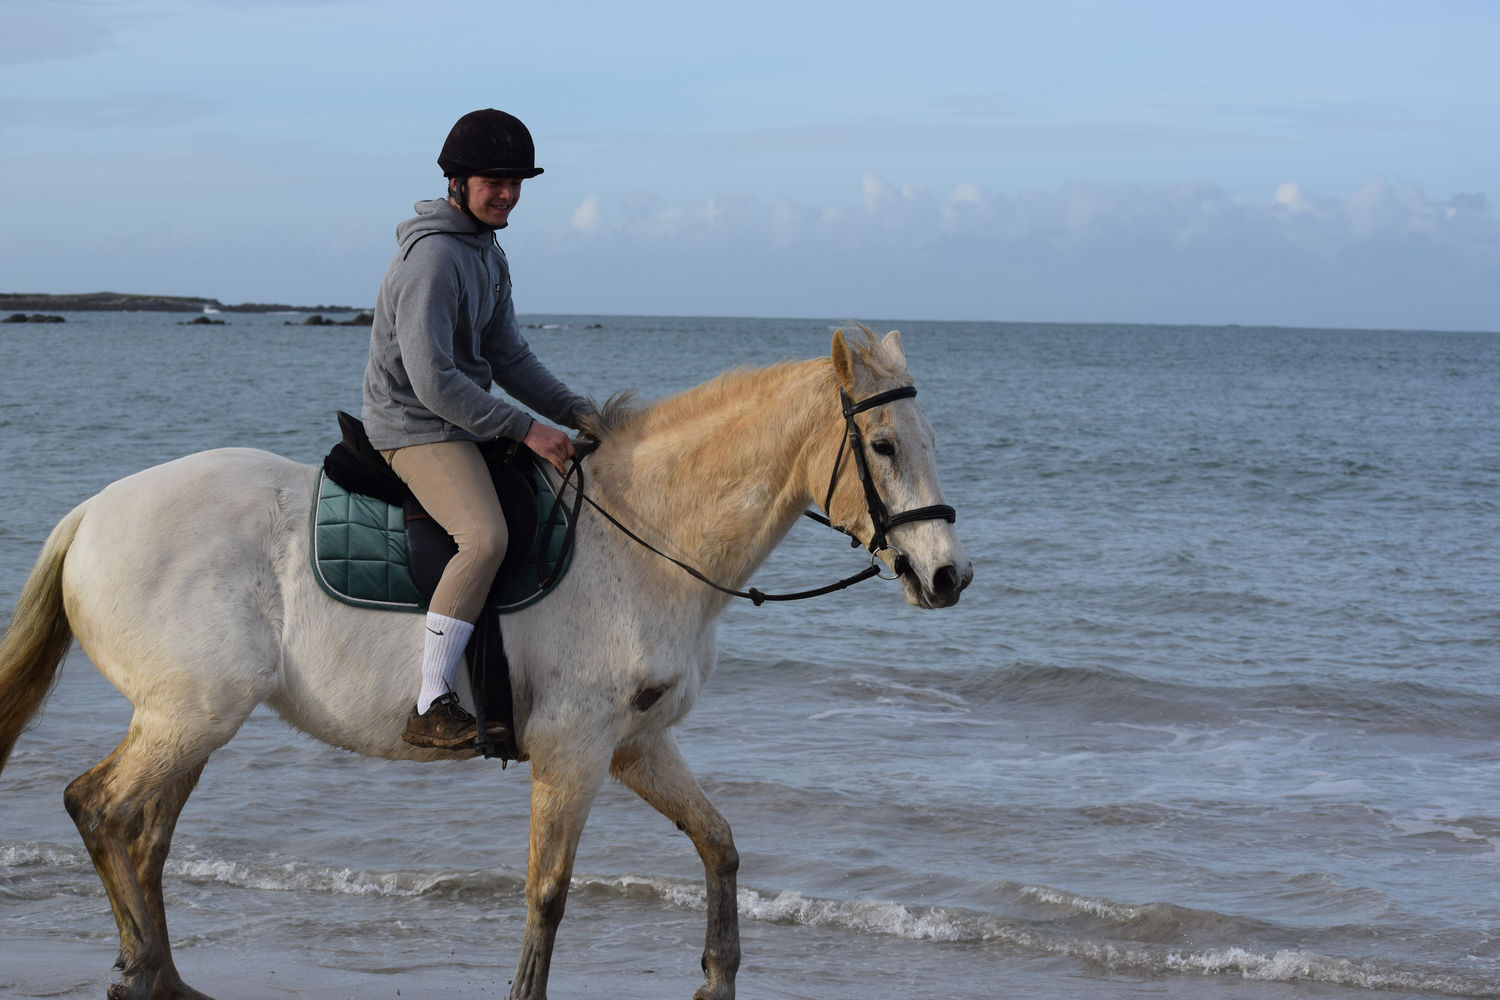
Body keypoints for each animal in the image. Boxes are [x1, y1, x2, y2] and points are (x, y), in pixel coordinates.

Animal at [0, 325, 972, 995]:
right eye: (883, 446)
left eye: (928, 441)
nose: (948, 576)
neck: (644, 536)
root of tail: (92, 512)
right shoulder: (574, 750)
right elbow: (549, 892)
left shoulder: (635, 745)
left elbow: (720, 845)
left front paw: (717, 979)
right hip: (191, 714)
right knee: (101, 809)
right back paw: (143, 969)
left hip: (189, 722)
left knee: (143, 834)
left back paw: (161, 974)